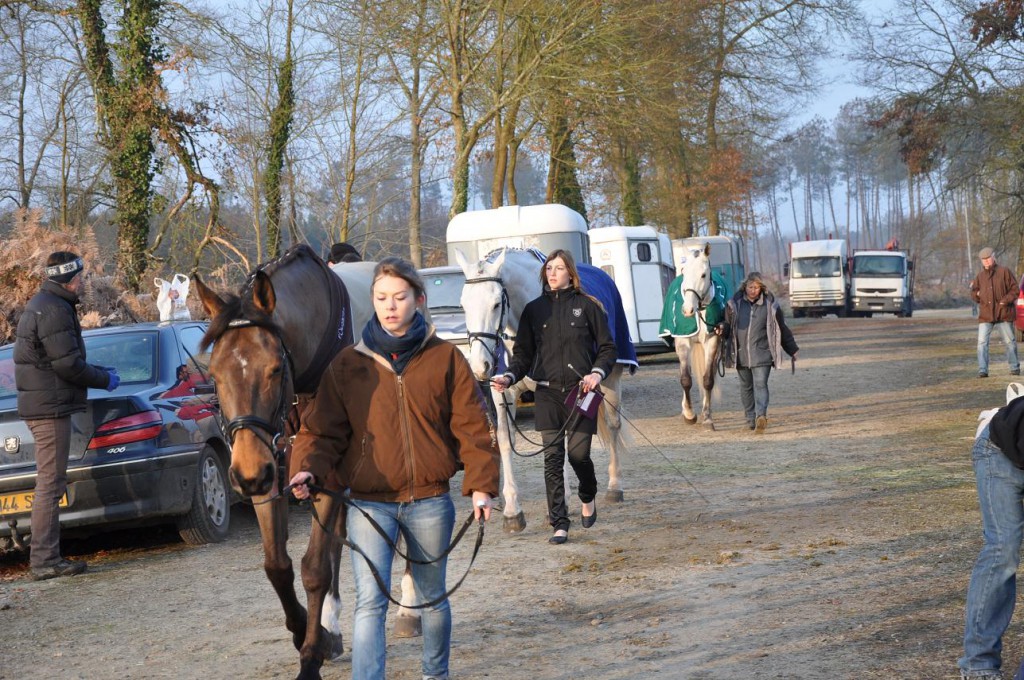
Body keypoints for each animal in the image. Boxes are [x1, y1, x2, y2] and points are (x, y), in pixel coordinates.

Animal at [192, 245, 376, 680]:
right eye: (215, 374)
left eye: (275, 369)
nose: (245, 472)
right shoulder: (268, 468)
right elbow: (277, 565)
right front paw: (306, 631)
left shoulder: (326, 473)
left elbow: (314, 567)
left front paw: (311, 655)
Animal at [456, 246, 630, 532]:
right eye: (463, 304)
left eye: (496, 303)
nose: (481, 366)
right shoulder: (503, 392)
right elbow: (505, 441)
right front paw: (513, 512)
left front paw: (562, 504)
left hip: (610, 376)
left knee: (613, 424)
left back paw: (615, 487)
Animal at [659, 241, 724, 428]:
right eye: (683, 272)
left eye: (703, 274)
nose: (687, 310)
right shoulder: (682, 342)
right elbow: (685, 379)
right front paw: (689, 414)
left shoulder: (713, 340)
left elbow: (708, 379)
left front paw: (707, 416)